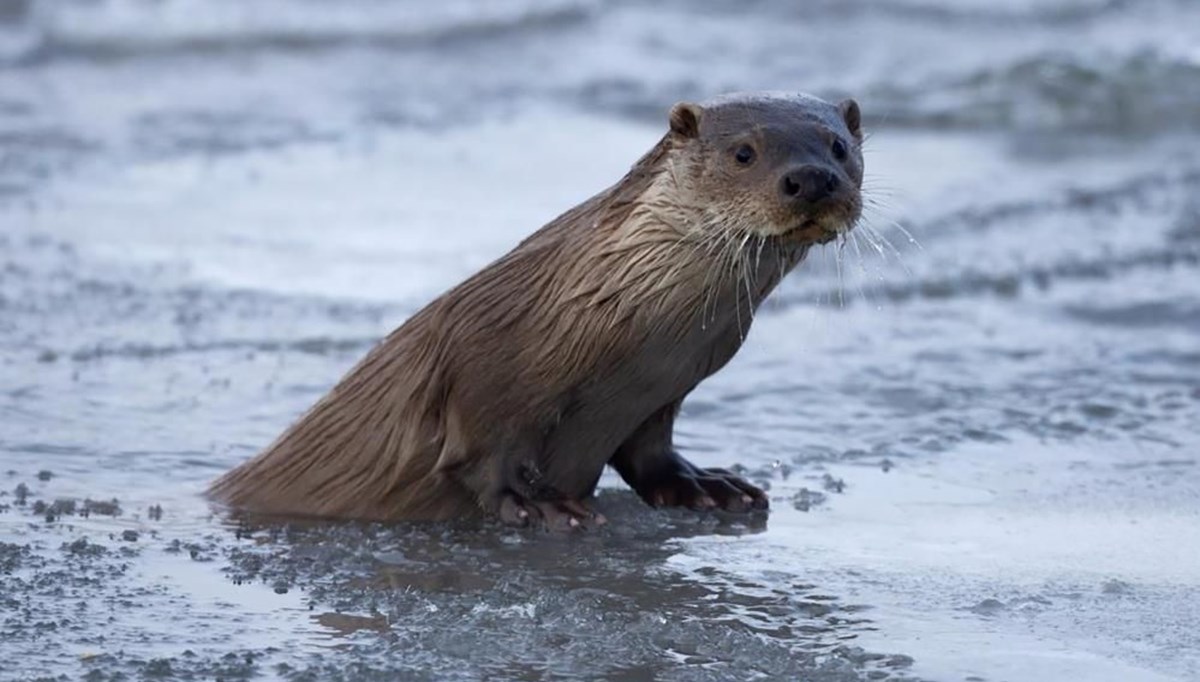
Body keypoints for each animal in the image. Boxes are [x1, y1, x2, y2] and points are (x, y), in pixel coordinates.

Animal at [213, 91, 864, 528]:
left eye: (839, 146)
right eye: (744, 153)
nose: (812, 179)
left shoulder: (665, 389)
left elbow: (650, 451)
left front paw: (706, 485)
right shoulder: (481, 360)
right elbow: (484, 451)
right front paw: (539, 503)